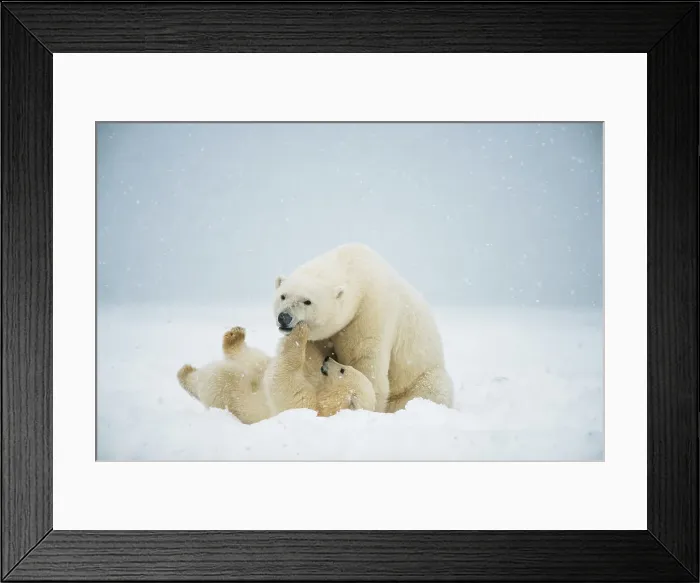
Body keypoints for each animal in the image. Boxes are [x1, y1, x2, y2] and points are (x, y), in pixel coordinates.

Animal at [273, 243, 454, 413]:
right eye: (283, 296)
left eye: (307, 301)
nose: (284, 317)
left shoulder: (370, 312)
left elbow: (365, 360)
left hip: (421, 377)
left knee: (434, 388)